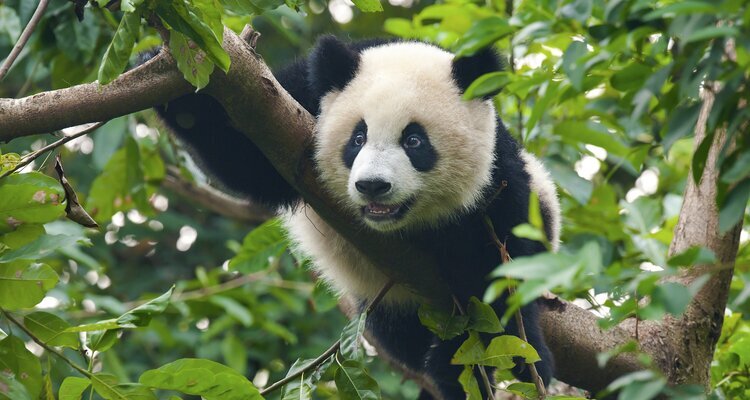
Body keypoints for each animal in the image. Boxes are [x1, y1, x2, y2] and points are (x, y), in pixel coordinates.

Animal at [152, 36, 561, 399]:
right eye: (358, 137)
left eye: (414, 141)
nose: (373, 186)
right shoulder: (296, 102)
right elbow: (247, 160)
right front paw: (170, 77)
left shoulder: (496, 178)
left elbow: (499, 269)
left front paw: (503, 361)